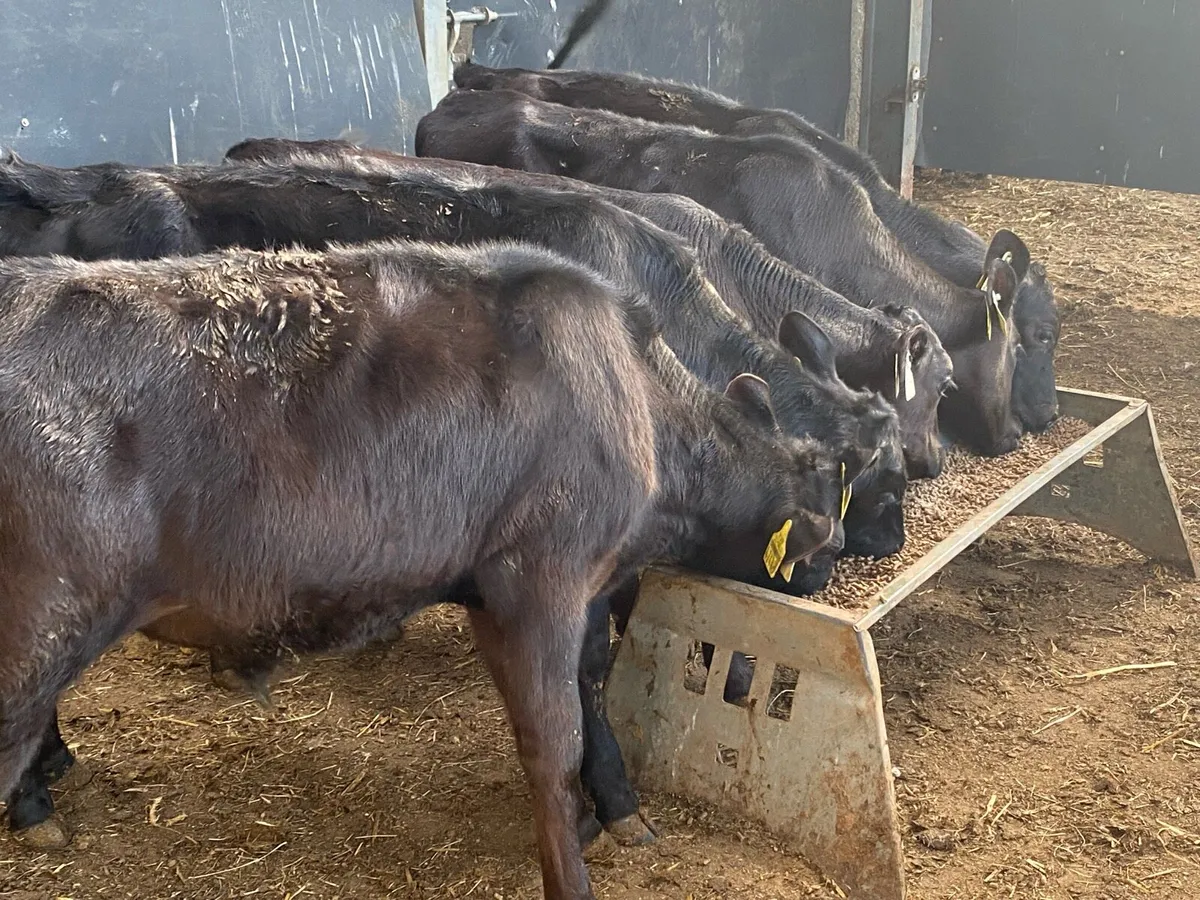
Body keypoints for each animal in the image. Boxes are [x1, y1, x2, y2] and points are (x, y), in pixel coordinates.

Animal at [0, 243, 842, 883]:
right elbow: (553, 742)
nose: (765, 677)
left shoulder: (517, 592)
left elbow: (587, 688)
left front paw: (612, 812)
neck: (638, 399)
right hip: (36, 636)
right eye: (825, 543)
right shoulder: (539, 579)